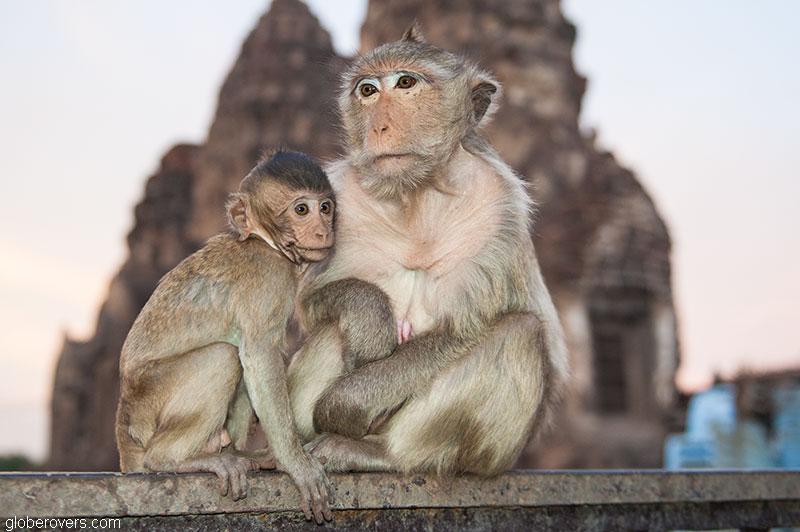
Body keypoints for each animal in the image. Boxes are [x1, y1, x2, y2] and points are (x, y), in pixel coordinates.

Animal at [116, 150, 334, 523]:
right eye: (302, 209)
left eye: (326, 207)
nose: (324, 230)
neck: (263, 241)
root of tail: (123, 427)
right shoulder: (269, 276)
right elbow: (259, 354)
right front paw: (297, 465)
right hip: (147, 406)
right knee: (223, 355)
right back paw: (173, 459)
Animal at [287, 25, 570, 477]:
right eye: (367, 90)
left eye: (405, 83)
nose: (379, 128)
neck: (414, 195)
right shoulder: (336, 197)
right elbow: (314, 303)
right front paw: (369, 323)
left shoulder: (497, 205)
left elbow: (460, 329)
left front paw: (345, 404)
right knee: (334, 324)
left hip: (490, 456)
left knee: (521, 332)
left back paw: (382, 454)